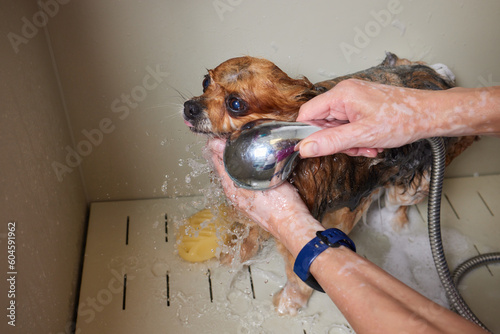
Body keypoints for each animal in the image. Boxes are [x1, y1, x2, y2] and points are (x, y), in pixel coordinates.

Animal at [182, 53, 474, 314]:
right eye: (205, 82)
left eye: (235, 104)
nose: (190, 107)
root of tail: (439, 77)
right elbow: (248, 238)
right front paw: (233, 256)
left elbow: (296, 274)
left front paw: (289, 303)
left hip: (416, 183)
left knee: (397, 204)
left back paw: (394, 225)